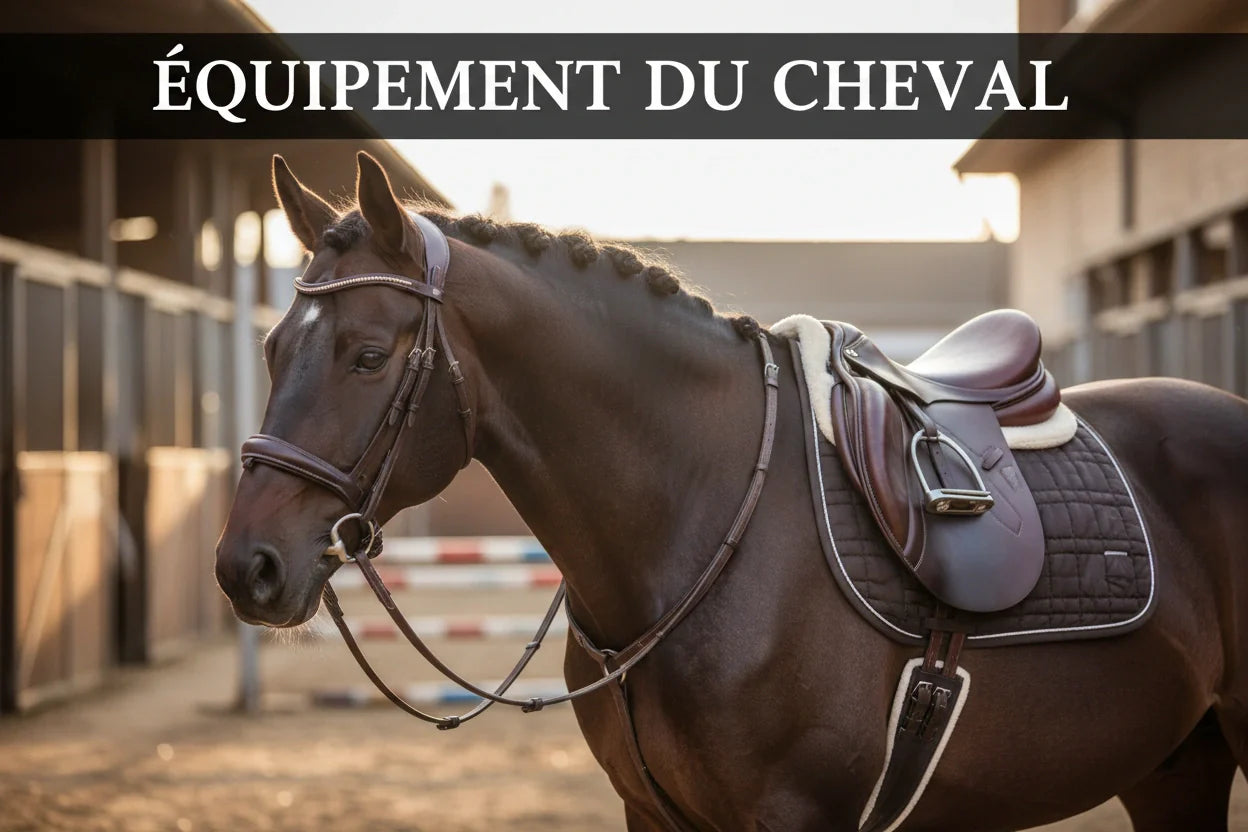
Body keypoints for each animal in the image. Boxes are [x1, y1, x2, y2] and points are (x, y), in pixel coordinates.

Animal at [216, 151, 1248, 831]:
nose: (245, 568)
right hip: (1175, 765)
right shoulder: (653, 813)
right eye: (269, 348)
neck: (702, 522)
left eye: (367, 355)